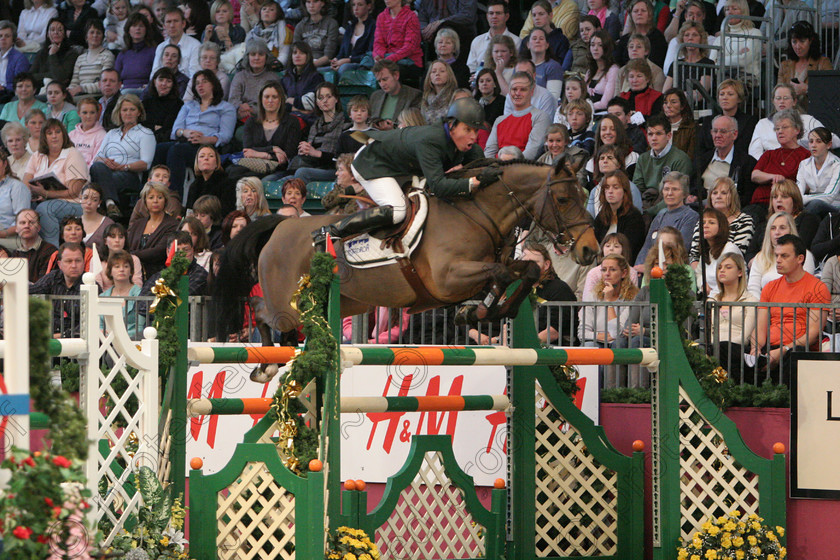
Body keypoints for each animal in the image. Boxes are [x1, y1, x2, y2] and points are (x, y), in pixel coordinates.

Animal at [213, 156, 600, 380]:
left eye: (584, 196)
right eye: (563, 199)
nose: (590, 250)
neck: (476, 213)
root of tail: (279, 226)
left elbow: (525, 272)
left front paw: (485, 311)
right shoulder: (447, 279)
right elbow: (502, 274)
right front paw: (480, 311)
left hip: (344, 304)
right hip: (289, 305)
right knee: (262, 311)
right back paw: (268, 362)